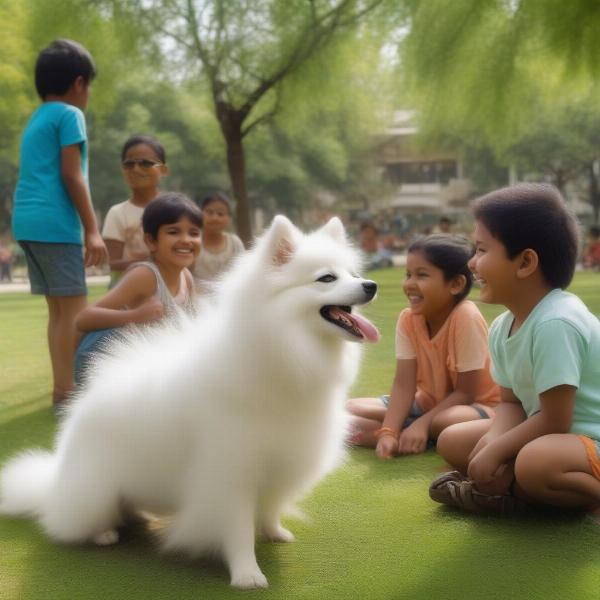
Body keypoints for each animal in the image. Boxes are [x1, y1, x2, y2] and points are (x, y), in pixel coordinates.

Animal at [0, 214, 378, 584]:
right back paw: (103, 533)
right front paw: (247, 574)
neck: (282, 353)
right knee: (72, 520)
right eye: (326, 278)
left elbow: (270, 506)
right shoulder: (229, 473)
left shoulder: (283, 459)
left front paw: (274, 532)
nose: (371, 285)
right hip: (94, 492)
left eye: (353, 274)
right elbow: (239, 529)